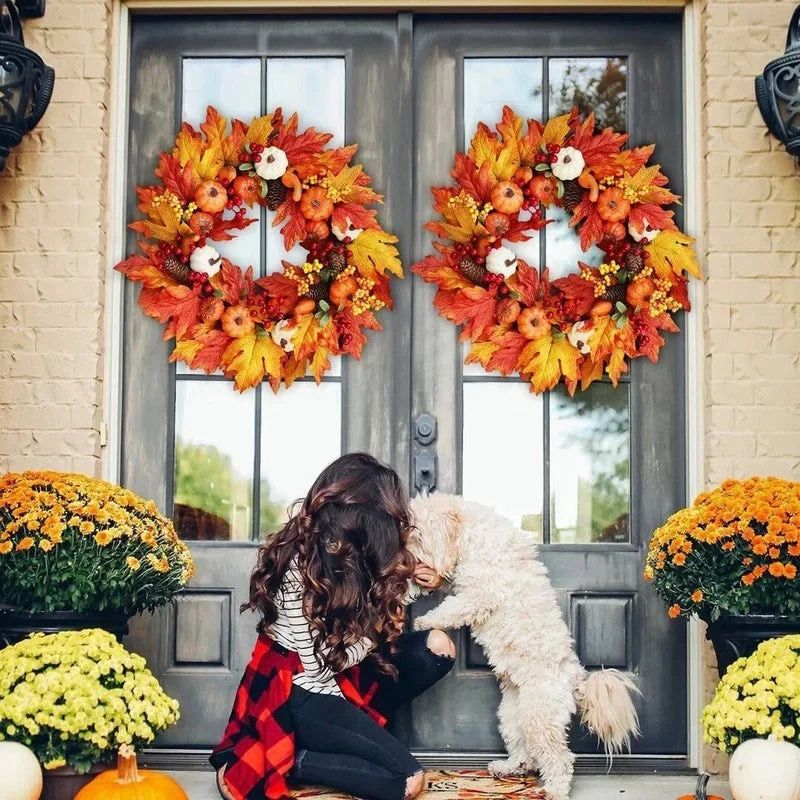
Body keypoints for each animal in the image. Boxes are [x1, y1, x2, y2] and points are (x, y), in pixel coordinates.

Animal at [410, 494, 640, 800]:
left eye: (416, 534)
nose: (404, 556)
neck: (474, 537)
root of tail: (574, 678)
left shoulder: (480, 594)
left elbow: (451, 609)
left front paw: (423, 621)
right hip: (511, 717)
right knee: (525, 752)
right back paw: (509, 769)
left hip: (538, 718)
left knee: (559, 758)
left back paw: (554, 790)